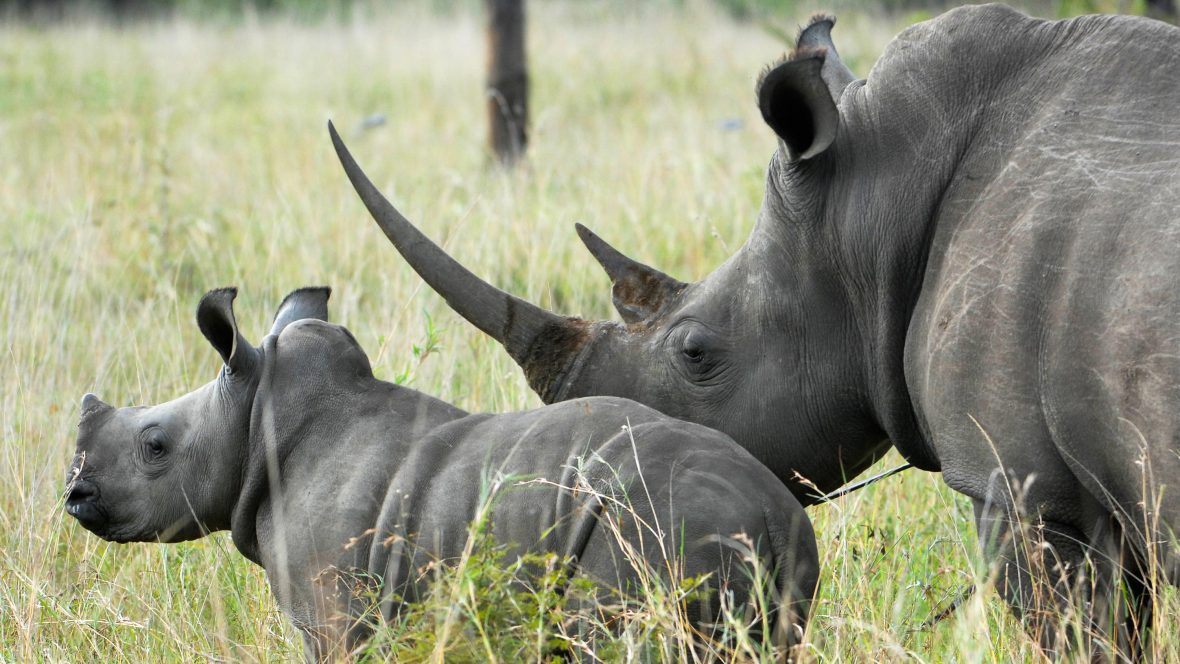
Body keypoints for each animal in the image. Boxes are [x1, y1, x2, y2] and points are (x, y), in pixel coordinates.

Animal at [66, 285, 821, 660]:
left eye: (155, 446)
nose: (75, 495)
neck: (256, 420)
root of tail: (775, 515)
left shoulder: (335, 613)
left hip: (659, 531)